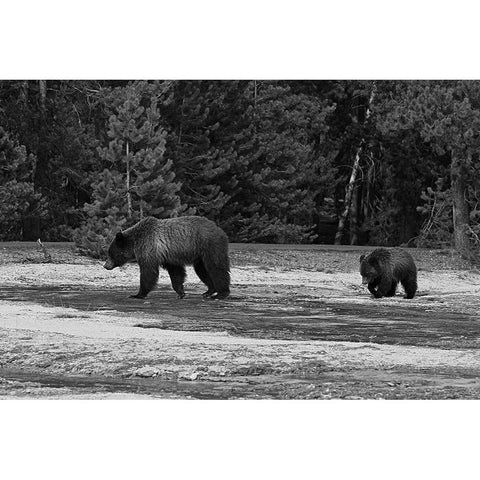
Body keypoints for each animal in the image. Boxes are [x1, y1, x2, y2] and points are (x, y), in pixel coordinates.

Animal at [104, 218, 232, 300]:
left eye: (110, 254)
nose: (105, 265)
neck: (135, 244)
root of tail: (220, 230)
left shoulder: (149, 248)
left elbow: (148, 272)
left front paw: (137, 294)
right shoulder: (168, 256)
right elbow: (176, 273)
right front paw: (181, 292)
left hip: (210, 245)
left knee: (216, 267)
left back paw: (221, 294)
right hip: (200, 255)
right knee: (202, 270)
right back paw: (208, 291)